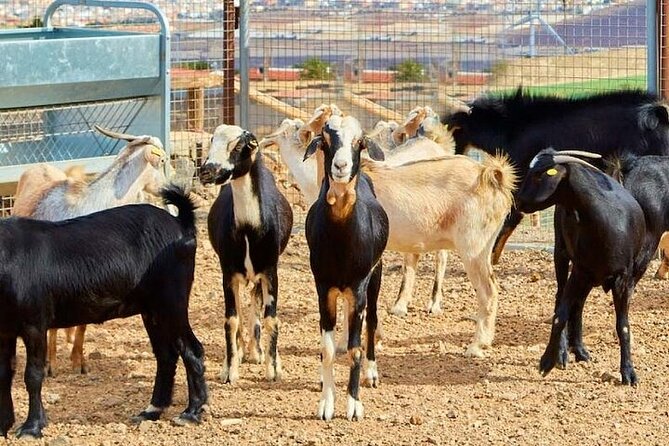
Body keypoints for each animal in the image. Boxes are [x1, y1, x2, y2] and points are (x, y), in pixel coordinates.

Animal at [0, 186, 207, 439]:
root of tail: (179, 224)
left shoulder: (34, 324)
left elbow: (32, 374)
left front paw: (31, 427)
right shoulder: (5, 330)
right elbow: (4, 374)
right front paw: (3, 425)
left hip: (171, 302)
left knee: (192, 350)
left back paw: (191, 413)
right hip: (152, 310)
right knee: (166, 355)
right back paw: (152, 410)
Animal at [200, 125, 293, 384]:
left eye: (239, 145)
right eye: (212, 140)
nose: (206, 171)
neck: (249, 230)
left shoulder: (270, 271)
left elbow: (271, 318)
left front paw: (273, 369)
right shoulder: (228, 273)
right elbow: (231, 319)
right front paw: (230, 371)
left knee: (255, 299)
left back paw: (257, 351)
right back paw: (239, 353)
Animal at [304, 114, 389, 421]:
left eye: (359, 141)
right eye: (326, 140)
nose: (340, 166)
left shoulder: (359, 287)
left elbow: (355, 349)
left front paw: (353, 406)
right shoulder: (324, 287)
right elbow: (327, 350)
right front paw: (326, 405)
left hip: (376, 277)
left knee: (372, 322)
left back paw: (372, 374)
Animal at [442, 88, 669, 264]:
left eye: (455, 131)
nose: (454, 155)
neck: (511, 128)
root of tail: (659, 115)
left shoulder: (522, 177)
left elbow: (511, 216)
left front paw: (490, 258)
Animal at [516, 149, 646, 385]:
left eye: (540, 174)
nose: (518, 202)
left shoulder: (623, 278)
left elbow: (622, 326)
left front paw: (628, 372)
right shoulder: (579, 270)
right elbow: (560, 314)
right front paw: (548, 360)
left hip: (589, 275)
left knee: (579, 304)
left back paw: (579, 350)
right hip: (562, 253)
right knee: (562, 298)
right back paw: (564, 352)